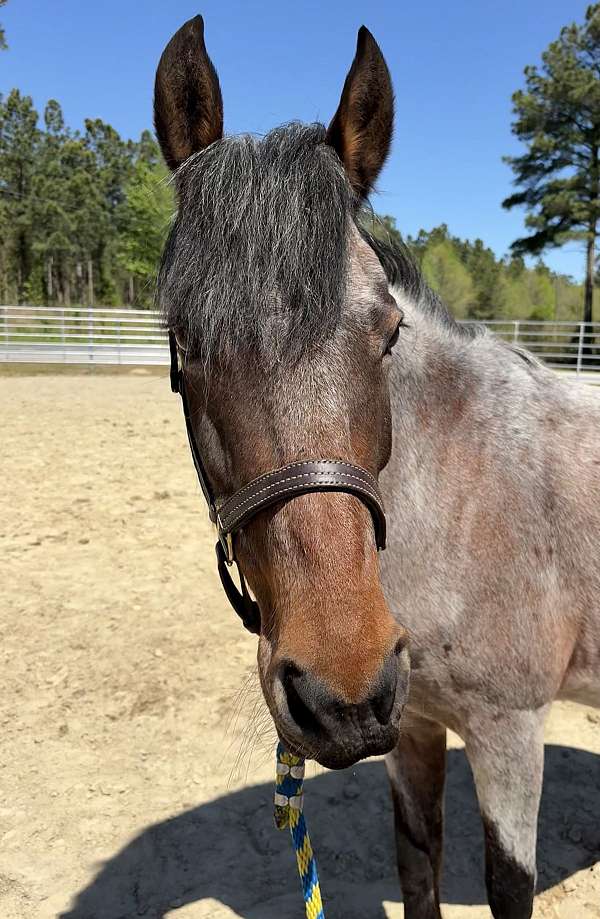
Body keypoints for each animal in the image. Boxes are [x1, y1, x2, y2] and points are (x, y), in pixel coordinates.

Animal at [154, 16, 600, 919]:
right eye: (184, 340)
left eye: (387, 331)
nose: (342, 690)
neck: (462, 499)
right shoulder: (414, 726)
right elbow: (417, 861)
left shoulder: (509, 730)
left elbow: (506, 884)